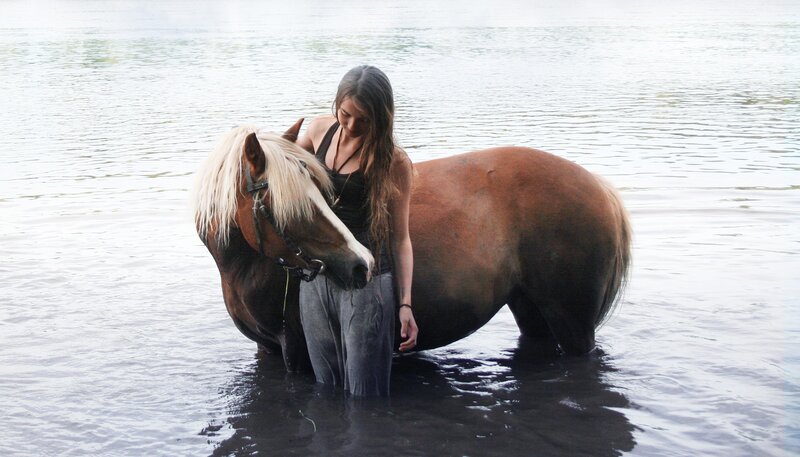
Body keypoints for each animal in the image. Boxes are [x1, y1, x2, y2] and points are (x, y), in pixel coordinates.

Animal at [194, 120, 632, 371]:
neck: (247, 266)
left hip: (573, 327)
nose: (360, 264)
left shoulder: (297, 356)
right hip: (531, 311)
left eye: (322, 192)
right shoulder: (267, 350)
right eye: (286, 207)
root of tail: (602, 190)